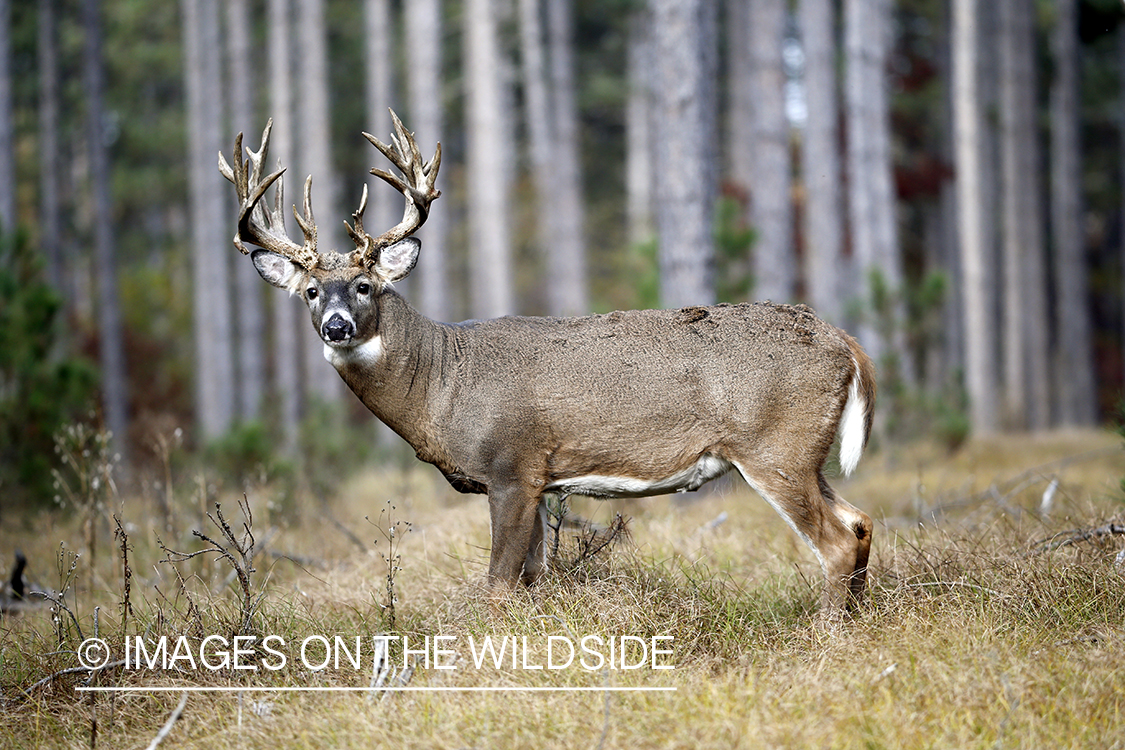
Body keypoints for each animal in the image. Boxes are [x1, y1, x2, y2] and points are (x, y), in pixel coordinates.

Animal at [214, 111, 873, 616]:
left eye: (365, 286)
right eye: (310, 292)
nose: (337, 326)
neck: (441, 385)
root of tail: (845, 342)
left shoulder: (513, 467)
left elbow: (499, 585)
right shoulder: (536, 480)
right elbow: (533, 580)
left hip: (774, 446)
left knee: (838, 539)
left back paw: (825, 634)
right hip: (806, 454)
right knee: (861, 521)